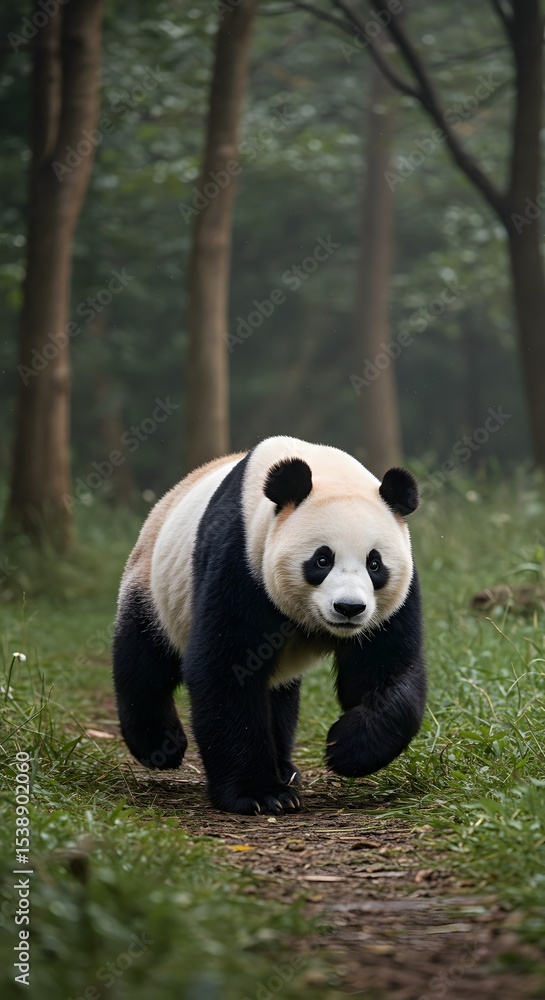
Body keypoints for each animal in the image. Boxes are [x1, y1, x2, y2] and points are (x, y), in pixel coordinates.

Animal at [113, 435, 426, 815]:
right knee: (144, 660)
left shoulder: (391, 604)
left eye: (375, 564)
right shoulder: (241, 561)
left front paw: (347, 748)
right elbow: (227, 669)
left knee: (279, 697)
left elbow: (386, 671)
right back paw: (160, 746)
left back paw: (286, 768)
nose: (349, 608)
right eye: (322, 560)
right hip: (155, 586)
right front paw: (261, 795)